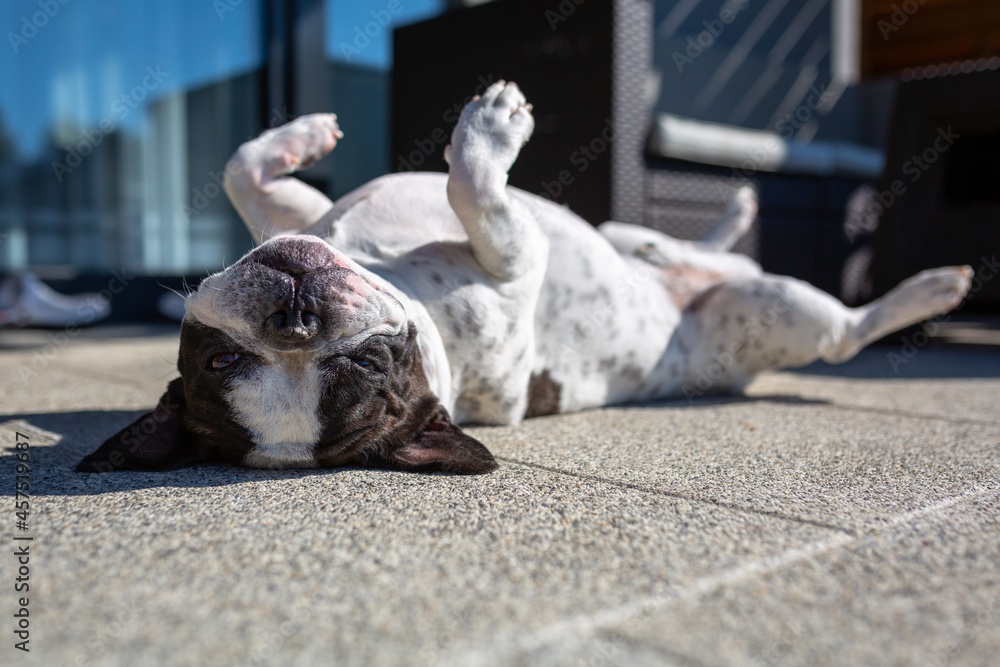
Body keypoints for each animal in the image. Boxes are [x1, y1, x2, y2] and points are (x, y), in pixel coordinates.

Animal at [80, 82, 976, 474]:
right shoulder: (517, 260)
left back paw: (718, 220)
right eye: (227, 363)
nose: (294, 316)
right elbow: (474, 191)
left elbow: (242, 169)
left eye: (365, 363)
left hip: (643, 241)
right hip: (781, 312)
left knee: (676, 244)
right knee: (845, 331)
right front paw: (492, 127)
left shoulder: (296, 217)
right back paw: (933, 289)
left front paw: (302, 133)